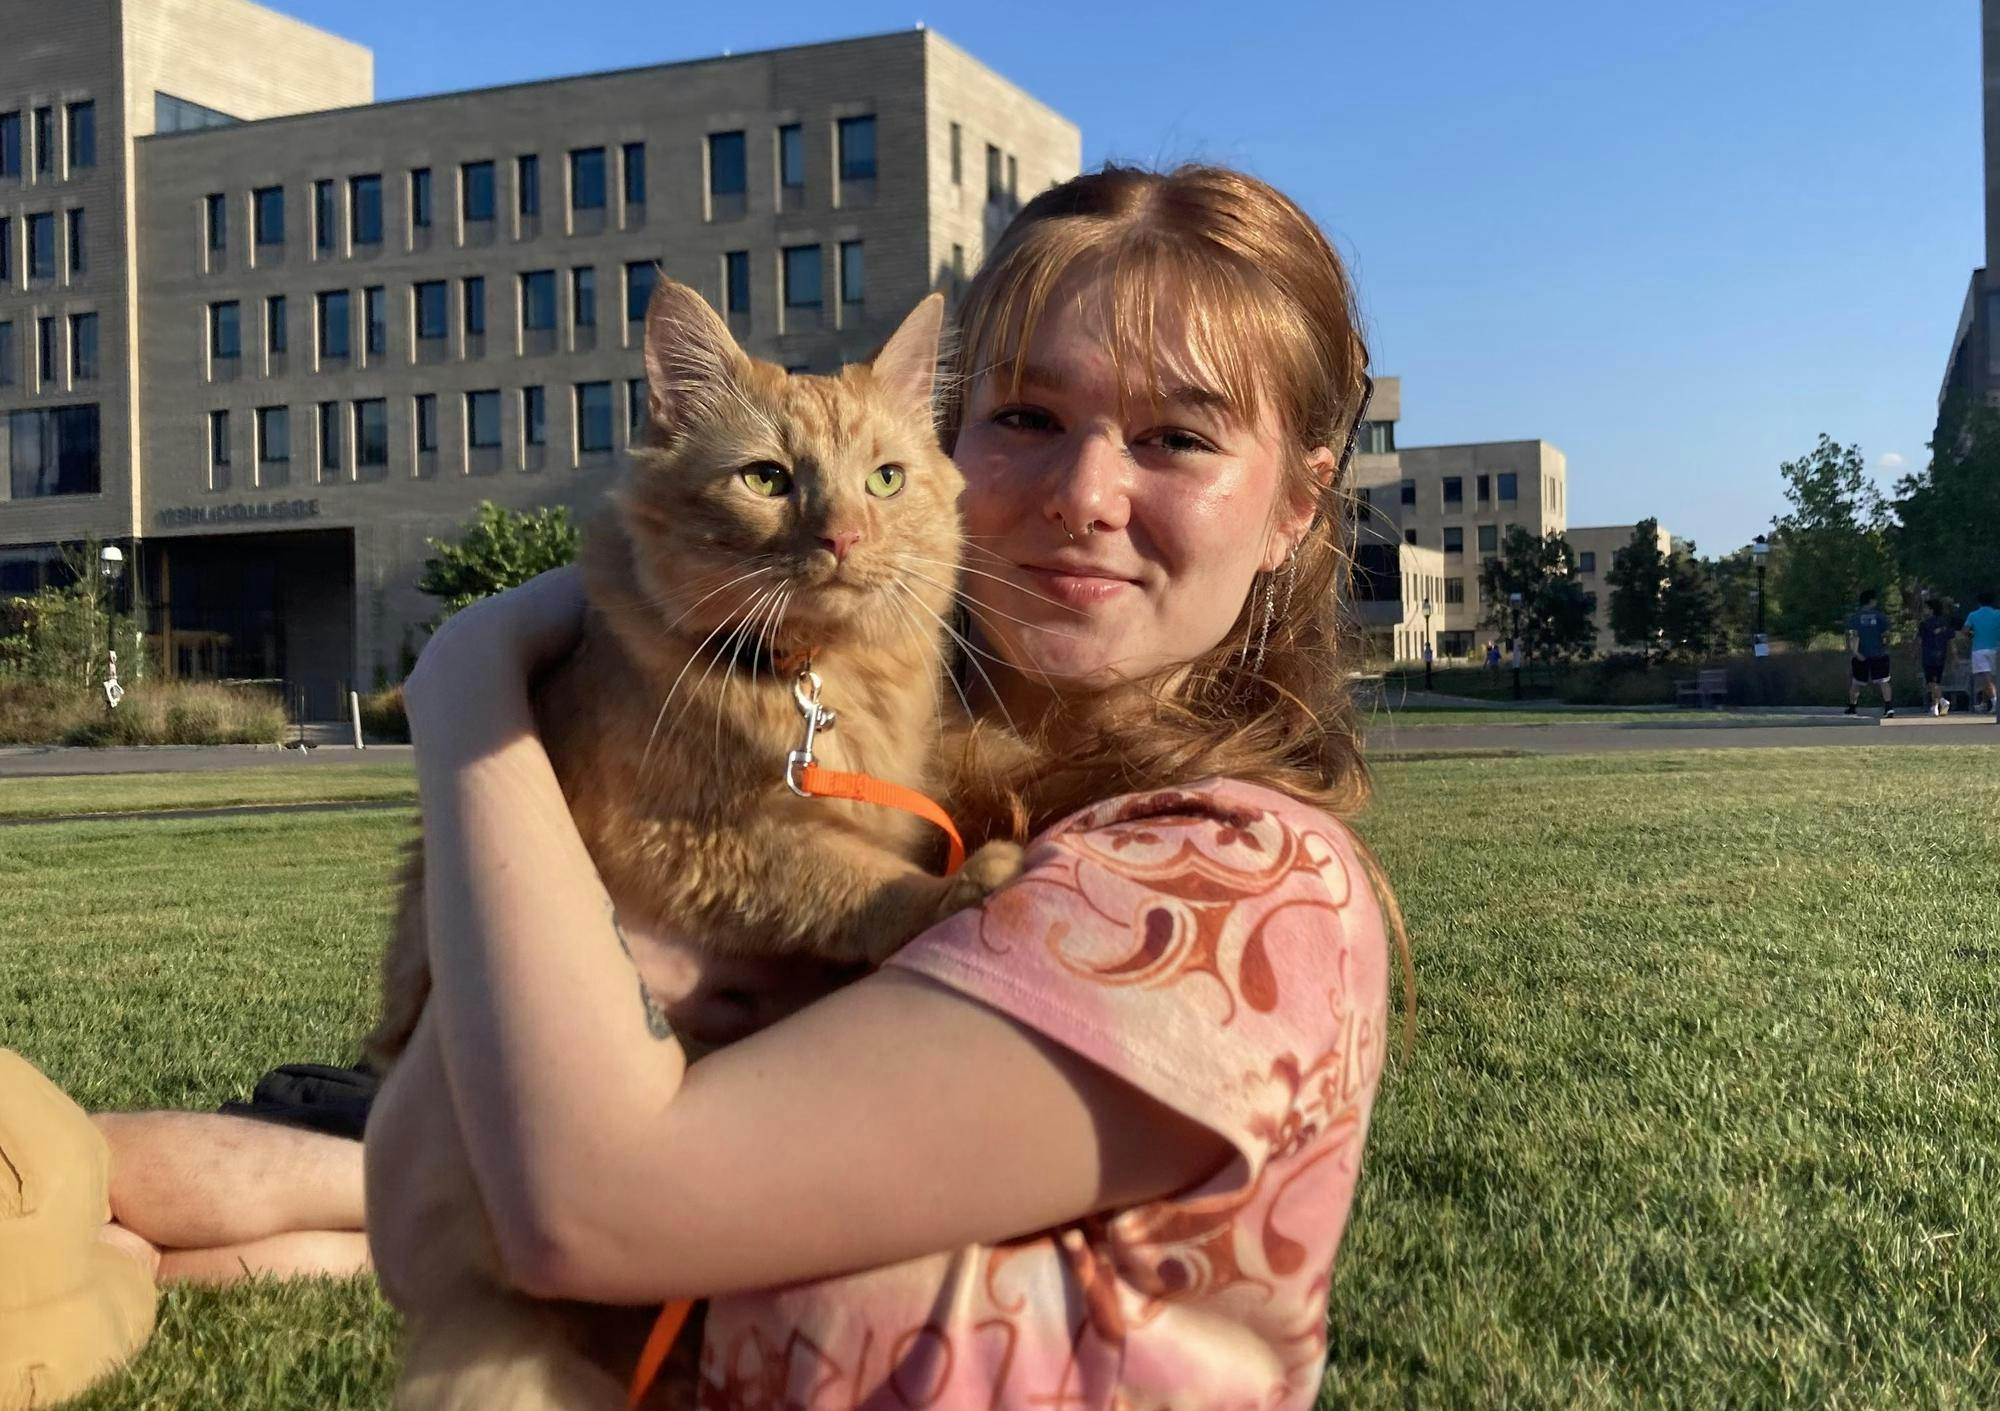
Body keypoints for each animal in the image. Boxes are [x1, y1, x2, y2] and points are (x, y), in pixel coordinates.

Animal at [370, 277, 1032, 1407]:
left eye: (885, 478)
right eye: (767, 479)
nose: (842, 539)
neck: (811, 680)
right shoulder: (684, 840)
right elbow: (851, 876)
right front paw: (955, 885)